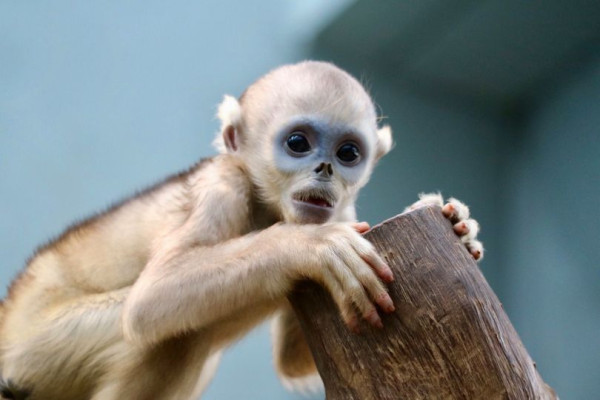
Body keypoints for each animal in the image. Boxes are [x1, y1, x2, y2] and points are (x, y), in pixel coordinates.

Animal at [0, 61, 480, 400]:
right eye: (298, 144)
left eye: (348, 153)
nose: (325, 168)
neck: (267, 205)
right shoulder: (222, 187)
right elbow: (151, 298)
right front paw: (308, 246)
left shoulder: (345, 211)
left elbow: (292, 362)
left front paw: (458, 224)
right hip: (35, 349)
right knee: (171, 335)